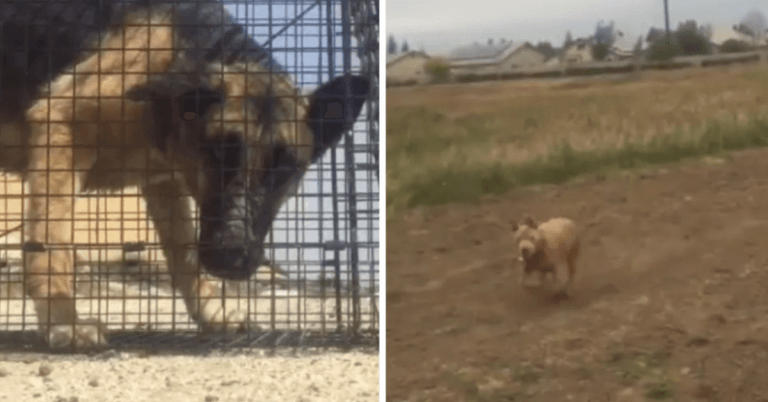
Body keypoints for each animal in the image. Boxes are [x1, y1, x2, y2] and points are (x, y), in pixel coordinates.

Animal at [0, 0, 368, 348]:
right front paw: (64, 323)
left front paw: (211, 311)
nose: (230, 254)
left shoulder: (165, 180)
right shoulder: (61, 130)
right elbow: (52, 244)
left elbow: (184, 253)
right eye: (219, 151)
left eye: (285, 168)